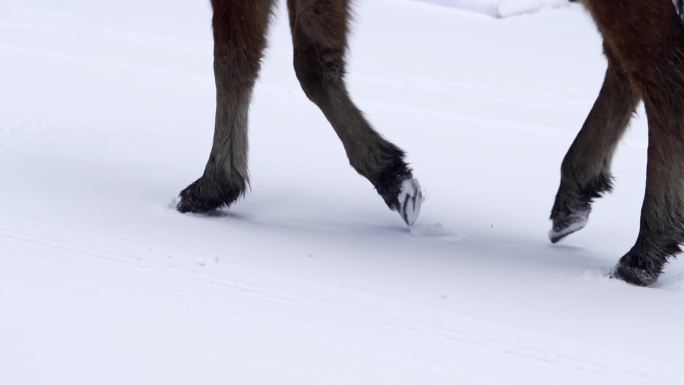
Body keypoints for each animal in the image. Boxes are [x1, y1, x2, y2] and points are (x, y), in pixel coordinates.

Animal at [175, 0, 684, 284]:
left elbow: (235, 56)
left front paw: (212, 184)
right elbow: (314, 63)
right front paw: (393, 177)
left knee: (662, 75)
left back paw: (647, 247)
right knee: (629, 66)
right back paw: (577, 195)